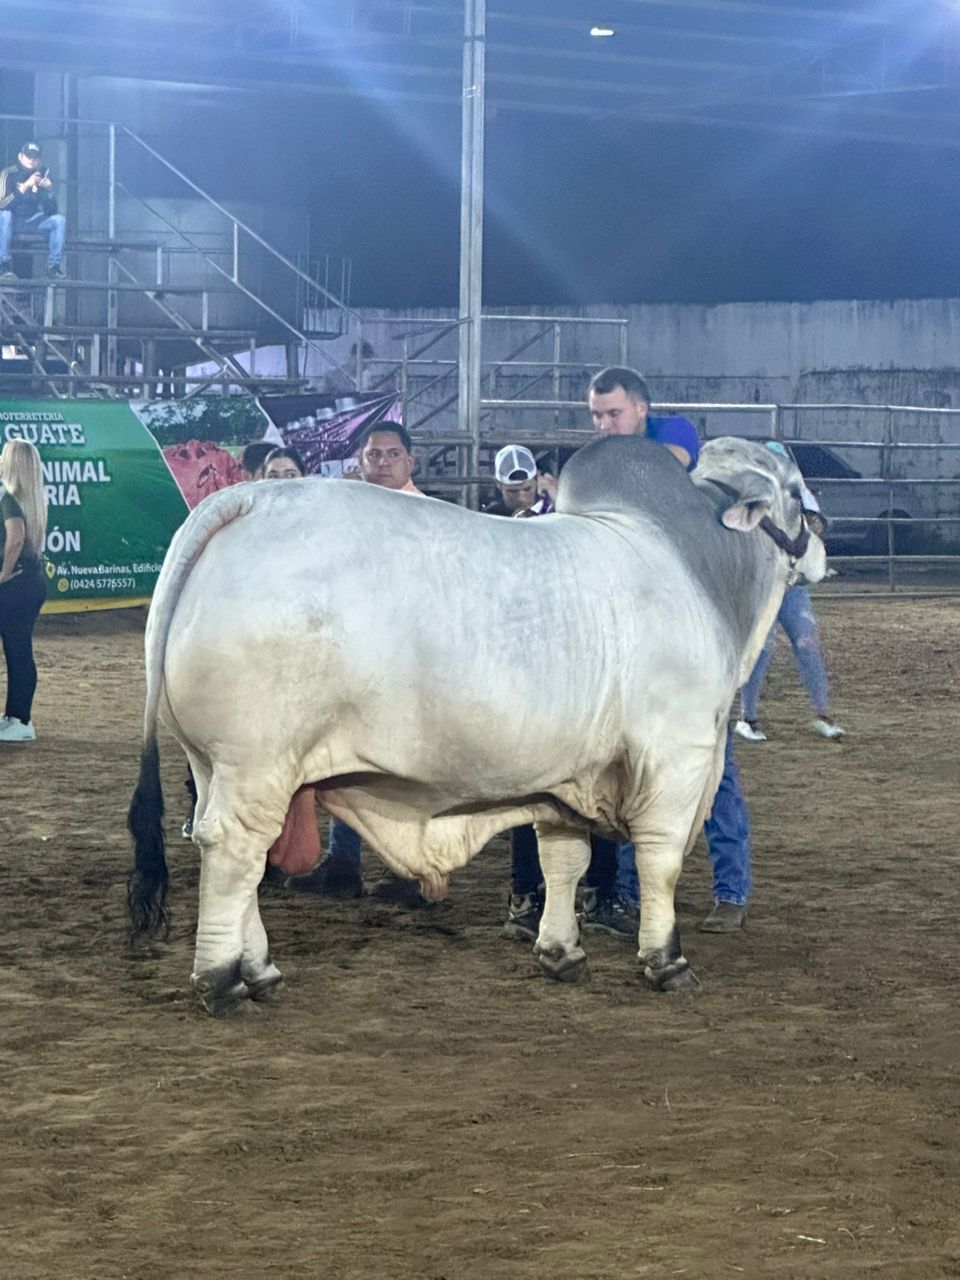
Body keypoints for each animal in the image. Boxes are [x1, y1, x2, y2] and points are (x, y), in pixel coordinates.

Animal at [128, 434, 825, 1016]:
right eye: (795, 493)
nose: (821, 541)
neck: (701, 567)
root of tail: (245, 500)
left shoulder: (568, 776)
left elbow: (564, 860)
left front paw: (560, 952)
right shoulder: (677, 755)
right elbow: (662, 863)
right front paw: (667, 961)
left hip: (213, 764)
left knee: (231, 853)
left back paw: (260, 971)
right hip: (256, 764)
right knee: (234, 853)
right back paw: (224, 983)